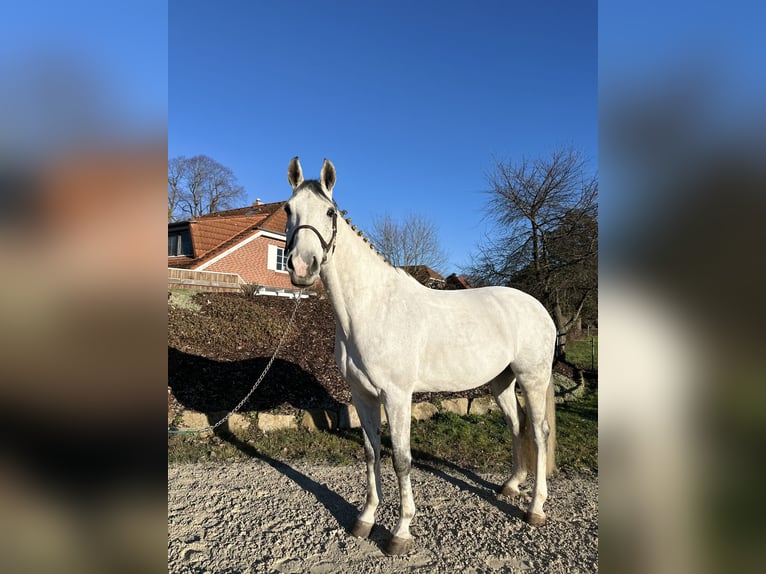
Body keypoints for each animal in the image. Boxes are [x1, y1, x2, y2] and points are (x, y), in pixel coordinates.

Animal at [283, 157, 557, 555]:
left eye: (330, 212)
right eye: (288, 209)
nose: (303, 267)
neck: (371, 307)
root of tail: (539, 309)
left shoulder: (397, 397)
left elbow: (401, 459)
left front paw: (400, 532)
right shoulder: (362, 396)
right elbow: (371, 453)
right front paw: (365, 520)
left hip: (533, 378)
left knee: (538, 432)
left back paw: (535, 509)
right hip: (501, 382)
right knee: (516, 425)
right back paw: (510, 486)